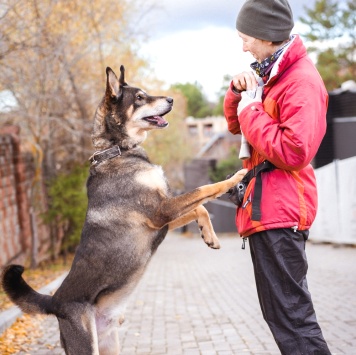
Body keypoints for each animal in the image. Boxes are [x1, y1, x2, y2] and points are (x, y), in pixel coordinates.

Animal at [2, 65, 248, 354]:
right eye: (140, 98)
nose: (171, 99)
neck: (117, 151)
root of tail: (55, 301)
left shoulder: (162, 215)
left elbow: (200, 209)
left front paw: (209, 236)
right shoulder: (160, 211)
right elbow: (205, 189)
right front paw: (236, 177)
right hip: (86, 345)